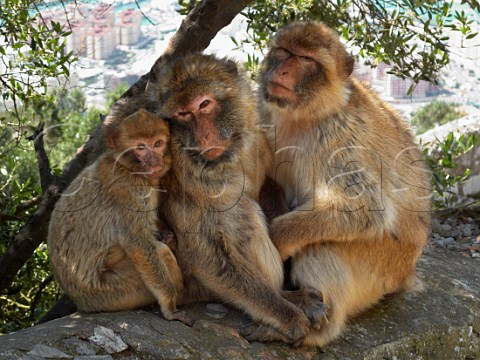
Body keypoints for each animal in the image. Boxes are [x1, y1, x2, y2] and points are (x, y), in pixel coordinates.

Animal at [47, 108, 190, 324]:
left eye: (157, 143)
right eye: (141, 147)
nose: (154, 161)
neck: (127, 166)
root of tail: (83, 304)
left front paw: (165, 232)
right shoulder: (129, 189)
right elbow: (138, 243)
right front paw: (169, 307)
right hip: (118, 291)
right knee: (159, 251)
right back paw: (180, 296)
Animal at [148, 54, 324, 346]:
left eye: (204, 104)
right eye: (183, 114)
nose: (204, 136)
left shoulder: (257, 142)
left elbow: (264, 183)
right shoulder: (188, 175)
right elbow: (206, 256)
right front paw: (287, 316)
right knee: (241, 214)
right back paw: (279, 308)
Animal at [258, 21, 432, 346]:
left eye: (306, 59)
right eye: (284, 51)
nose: (283, 71)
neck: (305, 115)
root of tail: (406, 275)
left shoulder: (339, 138)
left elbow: (366, 209)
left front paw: (278, 238)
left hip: (383, 268)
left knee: (322, 244)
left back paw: (315, 331)